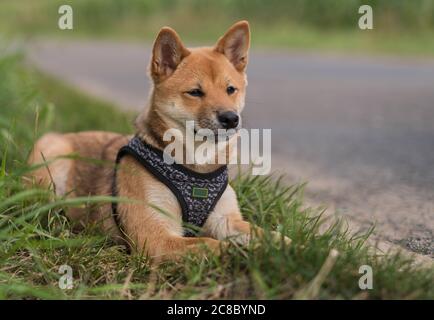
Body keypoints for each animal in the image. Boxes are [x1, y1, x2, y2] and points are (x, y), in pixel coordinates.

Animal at [28, 20, 292, 262]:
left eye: (230, 89)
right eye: (195, 92)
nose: (231, 118)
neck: (197, 166)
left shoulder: (226, 220)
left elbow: (265, 234)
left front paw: (295, 248)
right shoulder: (155, 237)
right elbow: (211, 243)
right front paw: (245, 254)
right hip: (52, 156)